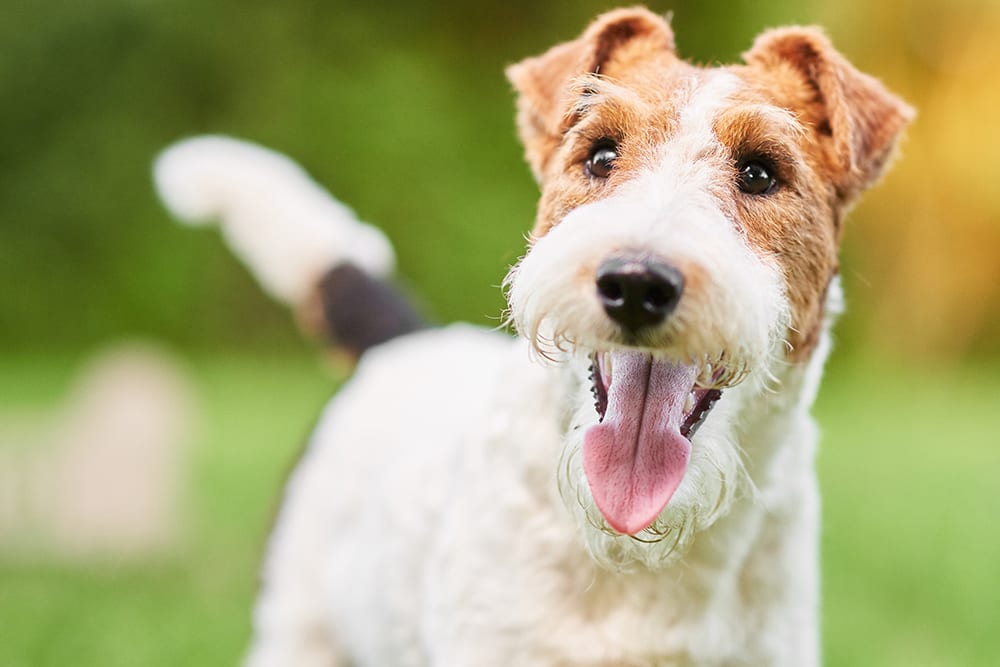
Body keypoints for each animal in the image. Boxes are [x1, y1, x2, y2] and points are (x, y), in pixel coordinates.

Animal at [152, 6, 912, 667]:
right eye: (600, 154)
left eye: (760, 171)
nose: (636, 283)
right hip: (297, 630)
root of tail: (401, 342)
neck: (638, 552)